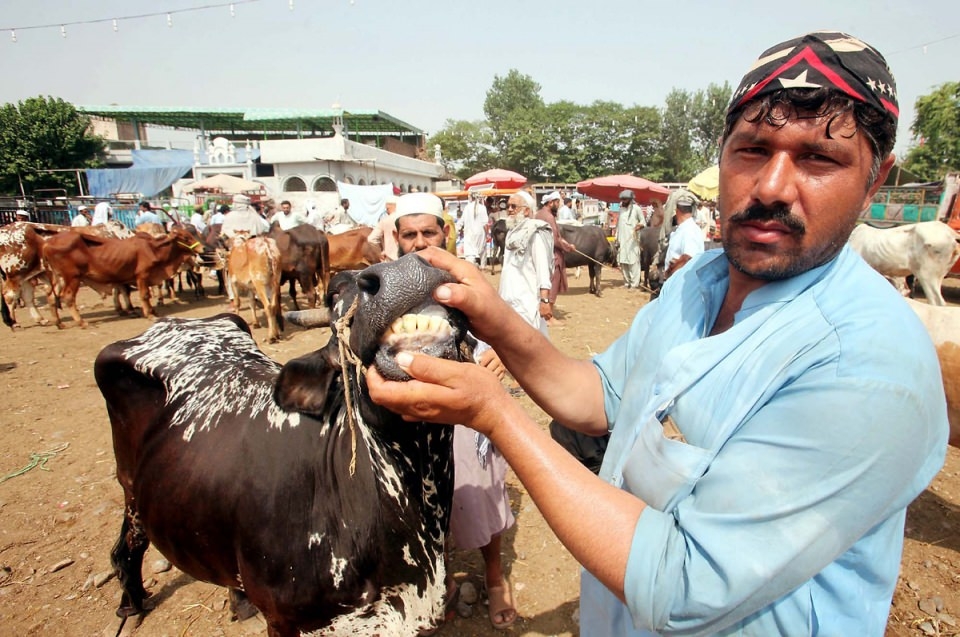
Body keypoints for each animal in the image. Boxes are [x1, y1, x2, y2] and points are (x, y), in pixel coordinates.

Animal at [42, 227, 204, 328]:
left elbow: (145, 296)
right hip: (72, 277)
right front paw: (149, 314)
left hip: (58, 277)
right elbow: (145, 295)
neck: (154, 249)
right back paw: (81, 322)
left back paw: (58, 323)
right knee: (68, 297)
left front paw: (152, 311)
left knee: (50, 296)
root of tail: (46, 243)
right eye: (186, 237)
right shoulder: (142, 275)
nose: (202, 248)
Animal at [95, 254, 472, 637]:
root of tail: (173, 323)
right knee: (127, 544)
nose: (403, 270)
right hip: (129, 486)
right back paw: (130, 604)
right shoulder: (283, 622)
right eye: (333, 293)